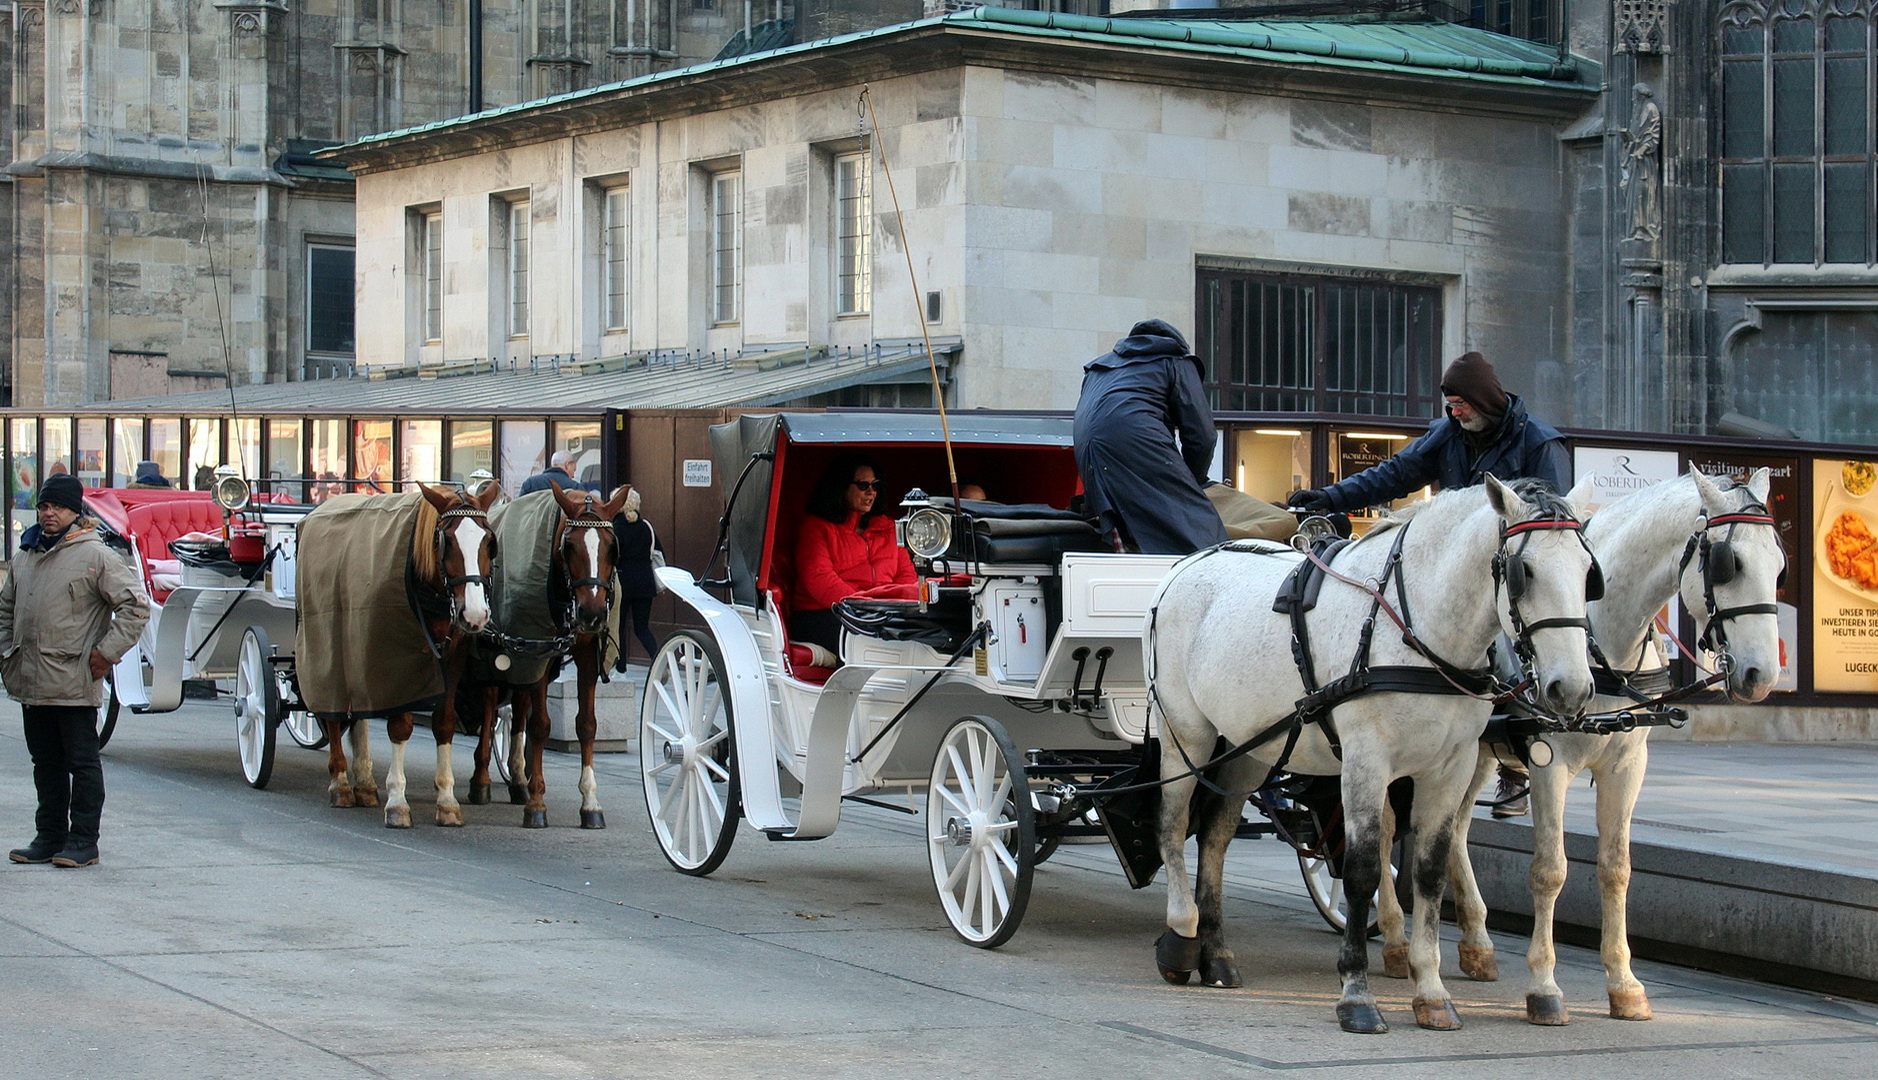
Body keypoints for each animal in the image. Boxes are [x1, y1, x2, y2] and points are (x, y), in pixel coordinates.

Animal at [319, 480, 503, 826]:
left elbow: (444, 722)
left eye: (489, 541)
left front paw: (446, 799)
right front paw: (397, 800)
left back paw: (364, 783)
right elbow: (400, 725)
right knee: (333, 707)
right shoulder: (396, 659)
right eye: (446, 541)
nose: (475, 614)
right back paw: (340, 782)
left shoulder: (452, 659)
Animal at [467, 480, 631, 826]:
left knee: (516, 711)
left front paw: (590, 802)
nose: (592, 614)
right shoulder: (538, 651)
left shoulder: (586, 654)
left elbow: (586, 725)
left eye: (613, 547)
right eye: (568, 547)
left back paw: (518, 780)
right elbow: (541, 725)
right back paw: (483, 779)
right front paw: (537, 803)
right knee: (491, 708)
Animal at [1149, 477, 1592, 1036]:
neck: (1417, 631)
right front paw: (1356, 993)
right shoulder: (1366, 762)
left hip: (1249, 745)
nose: (1571, 689)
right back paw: (1180, 936)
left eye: (1588, 573)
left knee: (1215, 835)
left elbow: (1430, 873)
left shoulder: (1450, 768)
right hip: (1185, 733)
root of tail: (1187, 564)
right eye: (1524, 571)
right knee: (1171, 824)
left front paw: (1431, 991)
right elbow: (1361, 873)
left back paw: (1217, 955)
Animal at [1397, 469, 1787, 1029]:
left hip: (1472, 755)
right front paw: (1544, 986)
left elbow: (1616, 868)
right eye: (1728, 564)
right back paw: (1391, 938)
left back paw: (1477, 944)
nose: (1762, 677)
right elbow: (1550, 870)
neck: (1604, 648)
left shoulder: (1627, 765)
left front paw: (1624, 984)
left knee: (1454, 834)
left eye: (1778, 564)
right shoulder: (1547, 763)